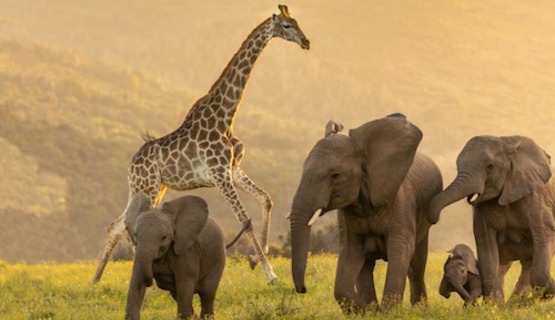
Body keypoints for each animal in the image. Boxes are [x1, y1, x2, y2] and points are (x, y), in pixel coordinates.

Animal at [90, 5, 308, 284]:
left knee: (117, 225)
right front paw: (270, 273)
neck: (226, 116)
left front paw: (256, 258)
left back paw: (95, 280)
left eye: (298, 22)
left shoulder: (233, 170)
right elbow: (245, 220)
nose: (306, 42)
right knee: (129, 224)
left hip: (153, 187)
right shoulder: (220, 174)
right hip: (146, 187)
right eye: (287, 25)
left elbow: (266, 199)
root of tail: (131, 165)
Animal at [125, 192, 227, 320]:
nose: (150, 282)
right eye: (135, 235)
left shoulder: (187, 251)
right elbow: (137, 282)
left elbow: (185, 285)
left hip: (218, 257)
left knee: (207, 293)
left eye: (164, 237)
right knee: (177, 294)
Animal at [292, 113, 444, 312]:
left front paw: (388, 312)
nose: (302, 289)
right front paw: (369, 311)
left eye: (335, 176)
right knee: (367, 267)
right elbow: (350, 251)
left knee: (416, 266)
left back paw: (419, 310)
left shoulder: (401, 202)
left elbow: (400, 247)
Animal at [430, 134, 555, 302]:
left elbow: (544, 235)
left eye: (490, 167)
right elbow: (486, 244)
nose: (433, 220)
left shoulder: (537, 197)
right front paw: (494, 305)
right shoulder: (480, 210)